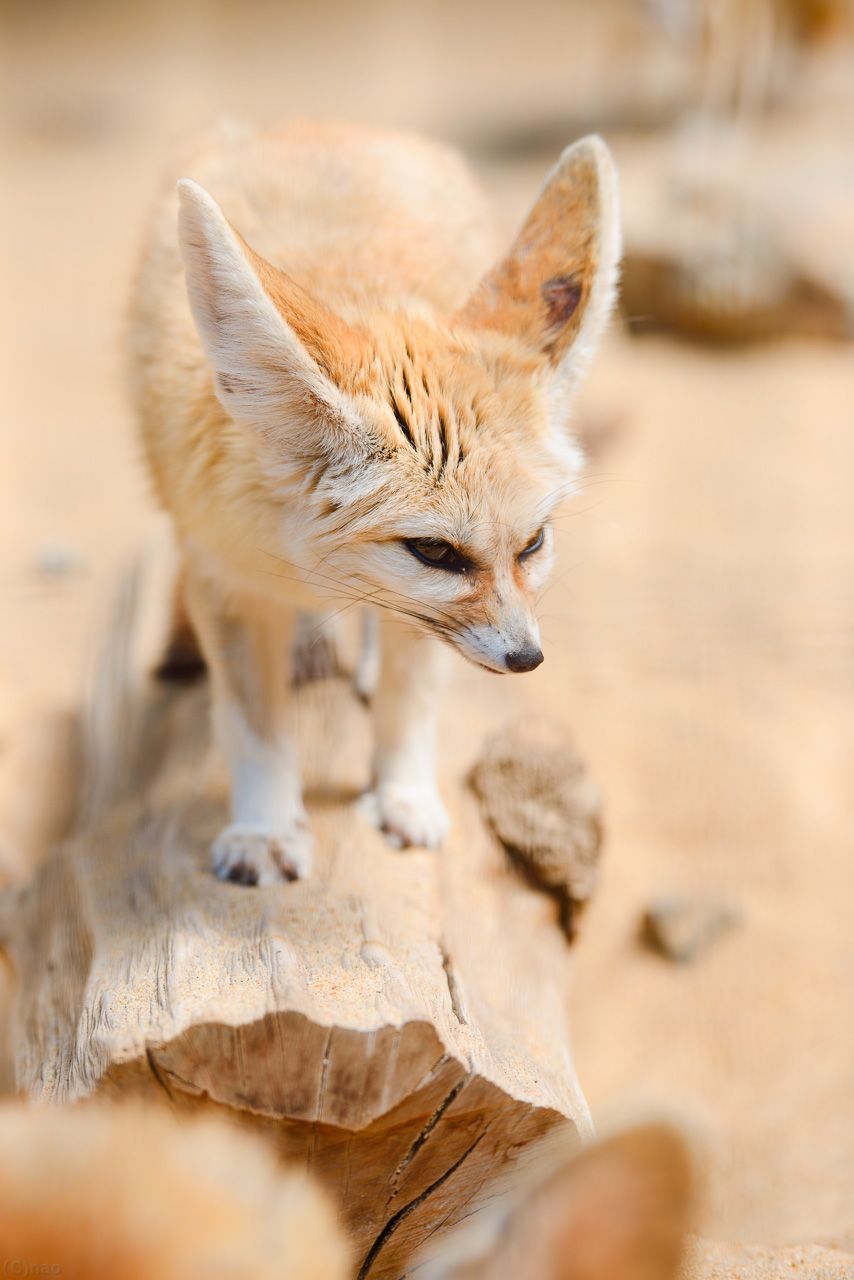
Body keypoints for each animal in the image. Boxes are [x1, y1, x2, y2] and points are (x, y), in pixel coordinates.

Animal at [128, 121, 621, 886]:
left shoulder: (430, 622)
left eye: (534, 543)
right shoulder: (222, 576)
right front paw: (267, 829)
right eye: (435, 551)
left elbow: (408, 697)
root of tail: (317, 124)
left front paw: (404, 795)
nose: (527, 658)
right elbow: (255, 727)